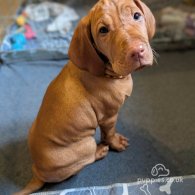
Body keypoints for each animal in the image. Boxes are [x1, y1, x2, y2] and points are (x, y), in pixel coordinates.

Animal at [13, 0, 155, 194]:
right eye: (103, 30)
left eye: (137, 16)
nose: (137, 51)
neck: (107, 71)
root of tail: (38, 173)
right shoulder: (109, 116)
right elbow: (109, 133)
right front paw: (115, 143)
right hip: (86, 143)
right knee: (85, 160)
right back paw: (100, 151)